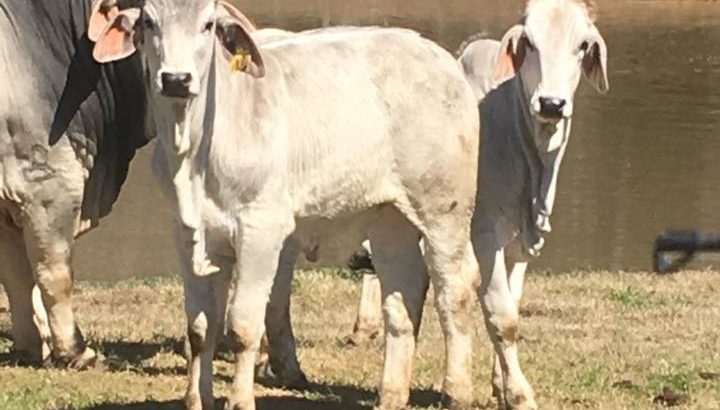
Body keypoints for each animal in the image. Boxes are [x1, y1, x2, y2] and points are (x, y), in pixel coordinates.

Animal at [90, 1, 481, 410]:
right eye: (149, 22)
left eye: (208, 24)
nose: (176, 79)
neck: (194, 152)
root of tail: (439, 57)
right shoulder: (188, 233)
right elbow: (201, 328)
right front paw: (198, 399)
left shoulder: (260, 229)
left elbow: (243, 326)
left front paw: (240, 400)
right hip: (389, 218)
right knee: (404, 293)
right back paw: (390, 395)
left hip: (444, 210)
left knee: (455, 287)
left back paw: (457, 391)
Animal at [268, 1, 609, 409]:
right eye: (529, 42)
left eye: (583, 45)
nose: (551, 103)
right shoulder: (483, 236)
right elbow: (500, 314)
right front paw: (518, 392)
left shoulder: (518, 247)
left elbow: (510, 307)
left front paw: (502, 385)